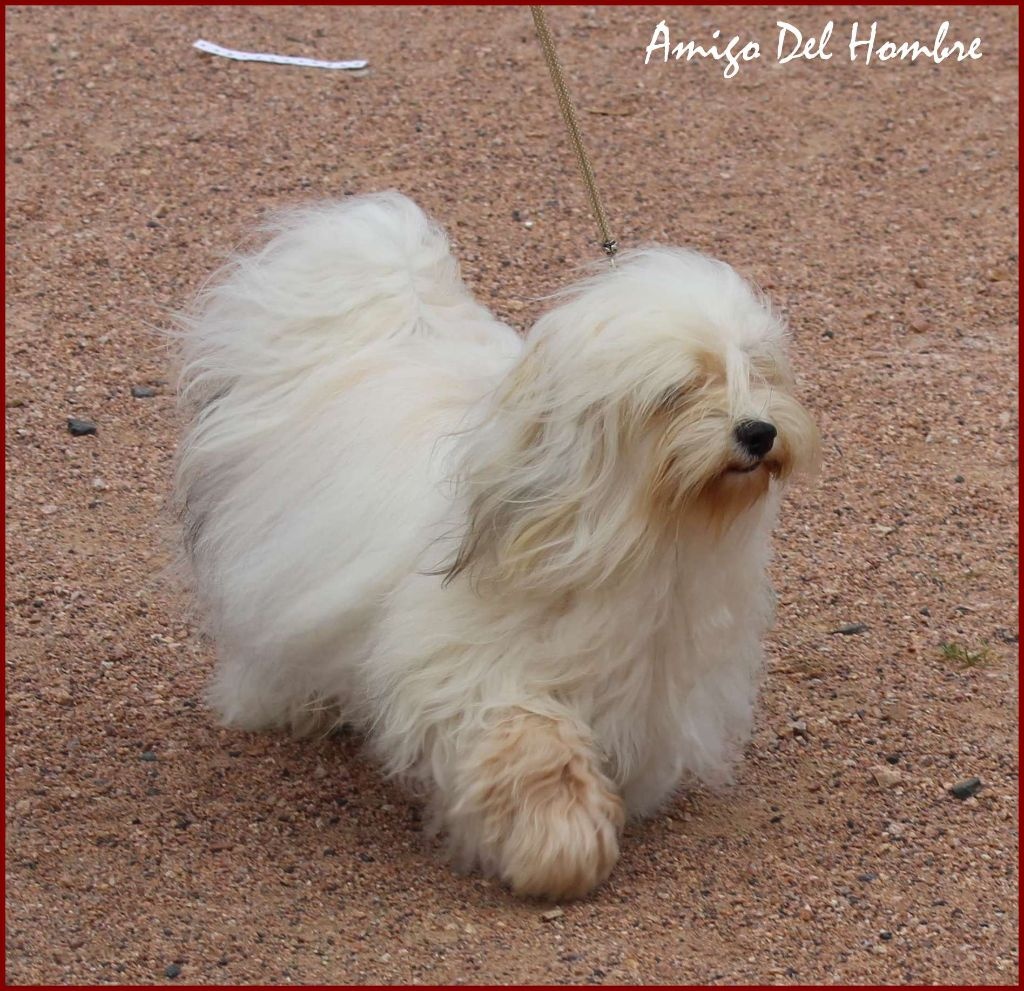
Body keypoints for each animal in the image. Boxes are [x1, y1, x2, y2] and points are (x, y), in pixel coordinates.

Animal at [174, 191, 815, 896]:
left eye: (756, 374)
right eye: (677, 391)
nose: (757, 432)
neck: (633, 532)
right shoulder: (467, 671)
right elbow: (533, 744)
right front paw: (560, 845)